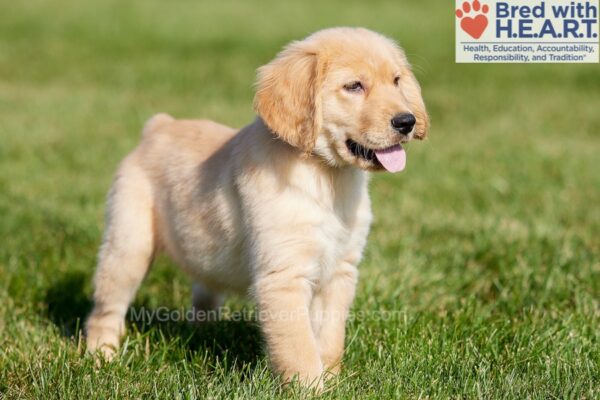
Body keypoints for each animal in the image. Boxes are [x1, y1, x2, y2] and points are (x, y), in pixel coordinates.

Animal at [86, 27, 428, 388]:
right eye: (354, 86)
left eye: (396, 81)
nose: (407, 121)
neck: (327, 178)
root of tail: (158, 126)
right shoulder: (283, 276)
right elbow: (300, 349)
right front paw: (312, 389)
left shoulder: (340, 270)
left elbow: (330, 339)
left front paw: (334, 382)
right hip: (129, 245)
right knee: (106, 309)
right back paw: (101, 359)